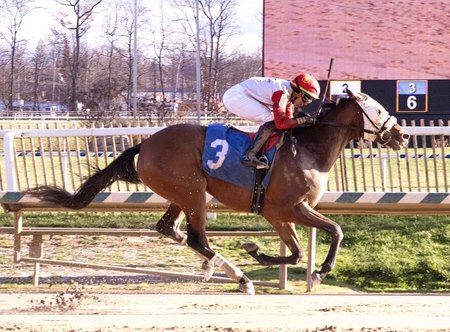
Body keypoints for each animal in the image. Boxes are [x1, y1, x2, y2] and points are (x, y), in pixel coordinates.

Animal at [26, 90, 410, 294]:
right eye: (377, 108)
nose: (402, 135)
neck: (308, 149)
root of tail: (146, 143)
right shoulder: (290, 208)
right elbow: (336, 230)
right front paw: (320, 271)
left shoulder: (278, 214)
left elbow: (298, 251)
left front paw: (258, 252)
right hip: (193, 191)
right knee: (197, 237)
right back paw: (239, 277)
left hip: (179, 193)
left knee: (171, 229)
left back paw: (216, 268)